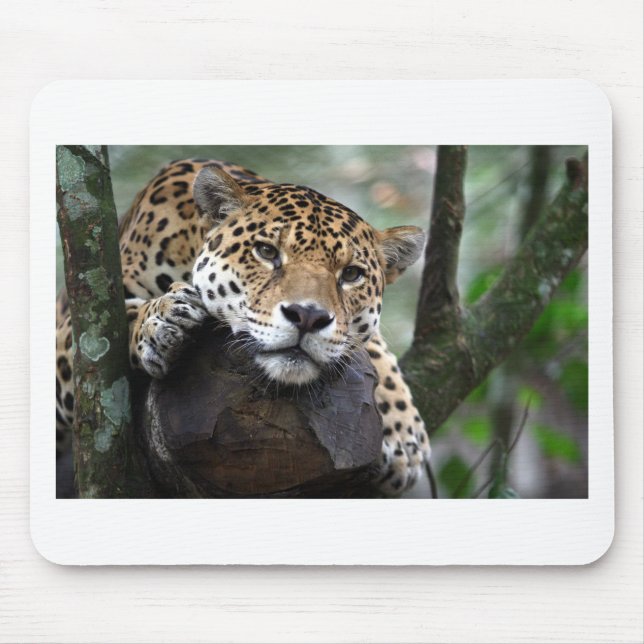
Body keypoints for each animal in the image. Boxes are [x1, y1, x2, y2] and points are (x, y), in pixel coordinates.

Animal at [56, 159, 431, 495]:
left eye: (351, 274)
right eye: (266, 251)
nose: (307, 316)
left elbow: (372, 345)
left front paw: (403, 436)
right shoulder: (76, 318)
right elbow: (106, 331)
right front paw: (160, 321)